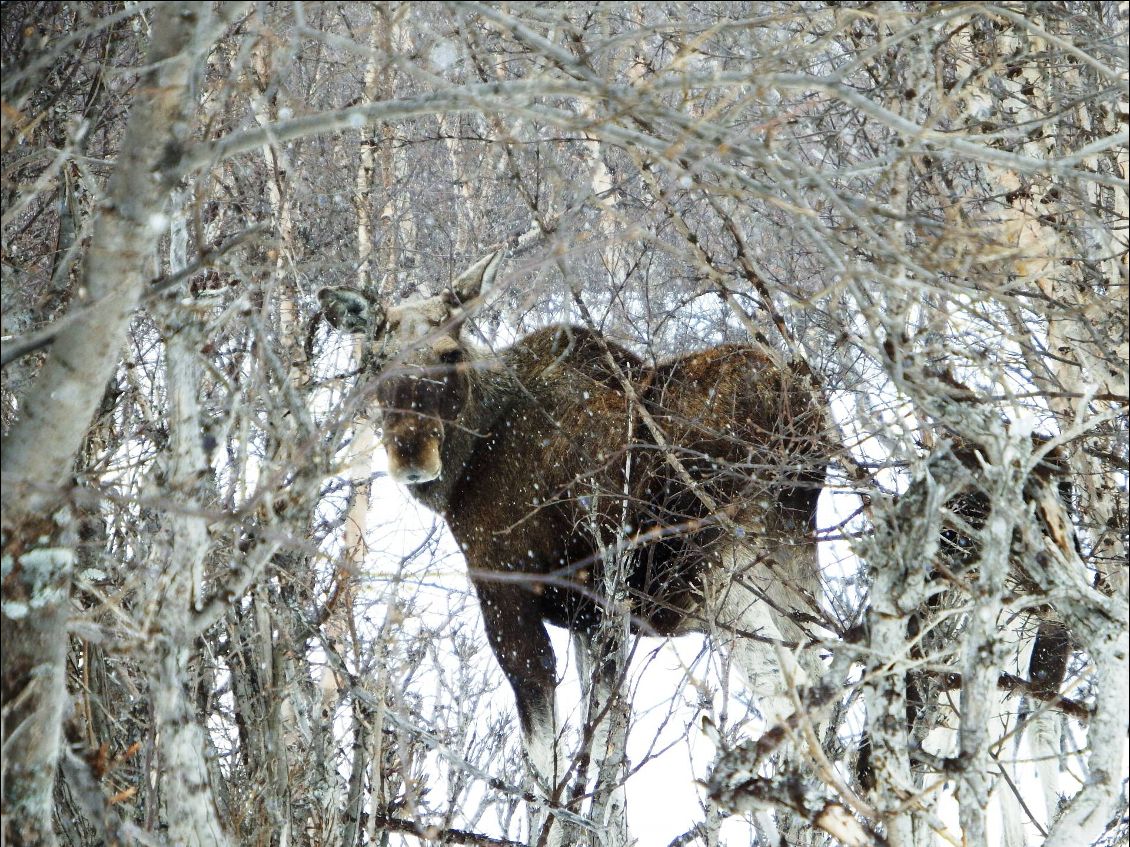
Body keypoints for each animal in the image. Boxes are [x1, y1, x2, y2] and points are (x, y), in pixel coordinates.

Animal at [318, 255, 831, 844]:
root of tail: (798, 403)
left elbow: (547, 764)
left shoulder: (508, 597)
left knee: (790, 694)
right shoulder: (590, 618)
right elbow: (608, 753)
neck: (469, 461)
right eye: (373, 359)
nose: (412, 456)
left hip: (727, 571)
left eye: (449, 352)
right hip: (793, 553)